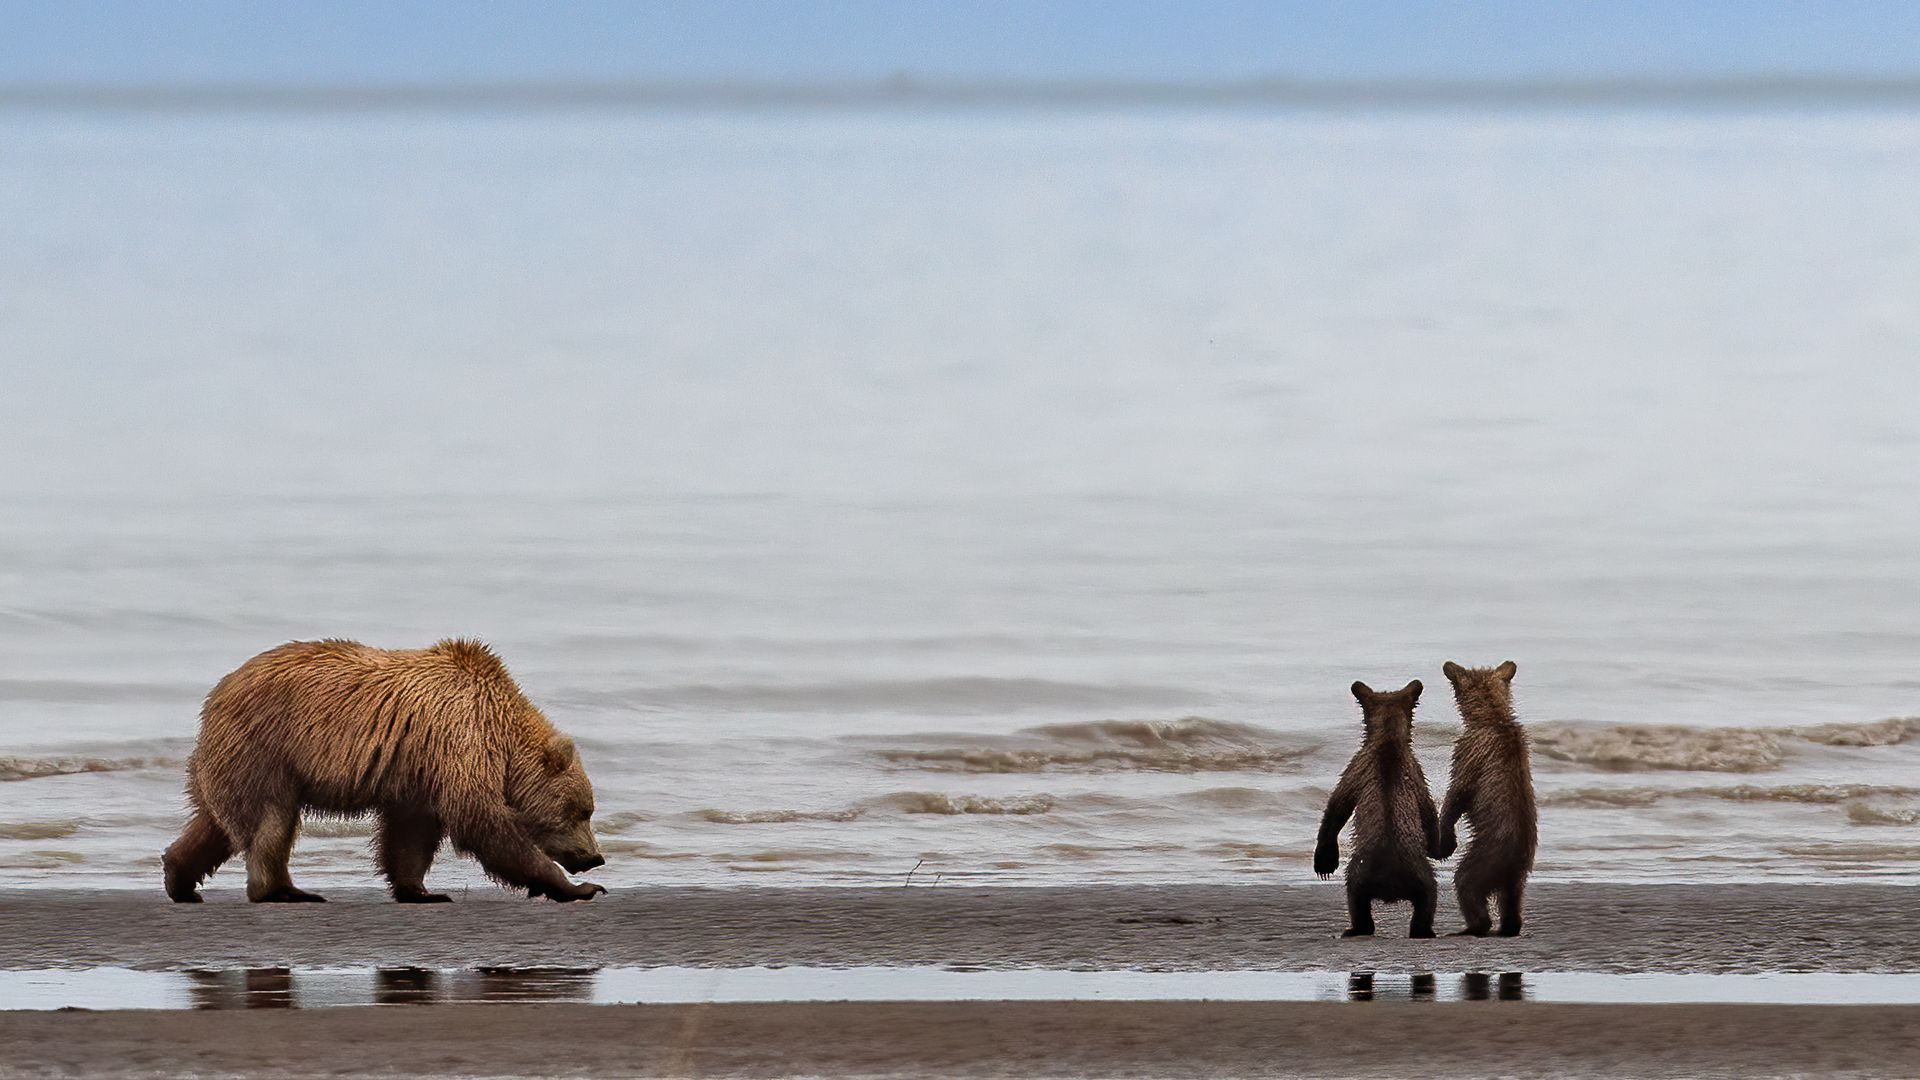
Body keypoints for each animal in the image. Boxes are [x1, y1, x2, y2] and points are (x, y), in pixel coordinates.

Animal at [162, 638, 607, 903]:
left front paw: (420, 891)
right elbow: (482, 821)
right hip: (266, 750)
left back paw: (179, 878)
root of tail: (216, 695)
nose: (595, 857)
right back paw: (282, 891)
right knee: (272, 823)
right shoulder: (458, 741)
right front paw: (577, 888)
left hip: (227, 762)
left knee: (214, 823)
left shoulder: (420, 772)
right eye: (580, 810)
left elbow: (411, 834)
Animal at [1314, 679, 1442, 938]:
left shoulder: (1361, 768)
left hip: (1367, 870)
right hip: (1412, 873)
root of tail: (1391, 885)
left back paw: (1358, 928)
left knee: (1356, 897)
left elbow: (1336, 807)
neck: (1388, 737)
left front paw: (1324, 862)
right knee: (1427, 897)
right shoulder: (1410, 774)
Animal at [1436, 659, 1537, 936]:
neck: (1492, 716)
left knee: (1466, 883)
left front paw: (1445, 839)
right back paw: (1508, 926)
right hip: (1516, 876)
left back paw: (1473, 927)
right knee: (1512, 900)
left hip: (1485, 856)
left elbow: (1457, 793)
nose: (1448, 665)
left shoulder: (1471, 751)